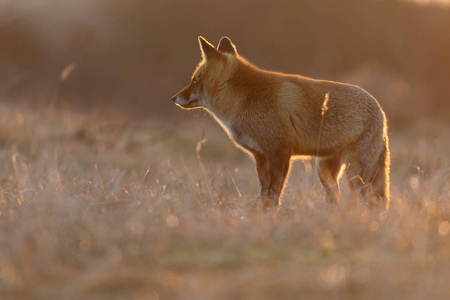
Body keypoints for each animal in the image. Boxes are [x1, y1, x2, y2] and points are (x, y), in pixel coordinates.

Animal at [172, 36, 390, 210]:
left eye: (195, 80)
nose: (174, 97)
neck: (243, 102)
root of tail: (381, 112)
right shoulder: (260, 156)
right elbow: (264, 192)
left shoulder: (280, 152)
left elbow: (274, 192)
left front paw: (270, 214)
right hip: (325, 172)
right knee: (335, 198)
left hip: (356, 174)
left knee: (369, 199)